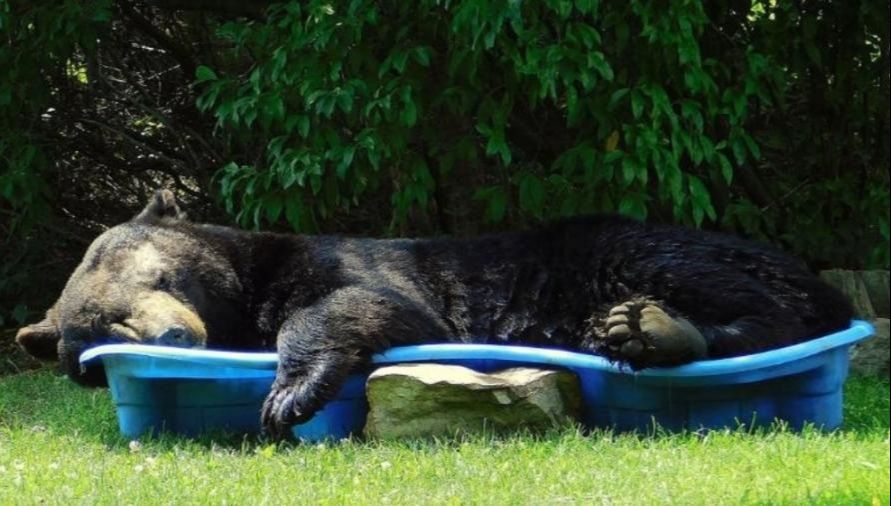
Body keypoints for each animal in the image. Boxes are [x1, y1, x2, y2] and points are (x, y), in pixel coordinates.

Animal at [16, 190, 853, 437]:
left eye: (157, 276)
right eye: (97, 335)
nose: (172, 334)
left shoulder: (343, 262)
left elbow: (366, 305)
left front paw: (289, 394)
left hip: (639, 249)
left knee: (748, 296)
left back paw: (649, 325)